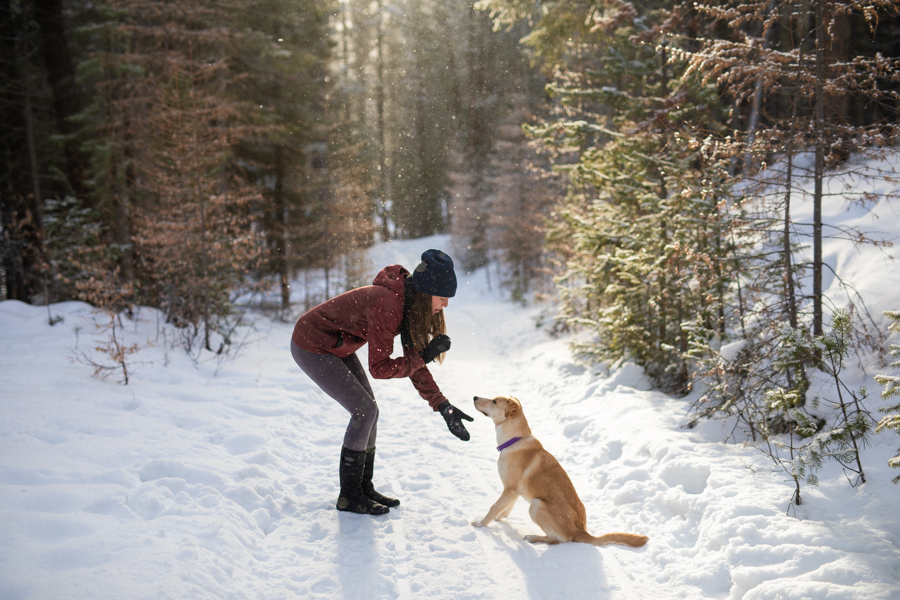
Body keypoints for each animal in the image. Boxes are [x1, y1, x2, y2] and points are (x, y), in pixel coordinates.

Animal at [472, 394, 648, 548]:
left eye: (494, 401)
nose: (474, 397)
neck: (515, 440)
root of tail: (579, 531)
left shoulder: (510, 489)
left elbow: (494, 507)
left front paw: (481, 523)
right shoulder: (515, 491)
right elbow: (505, 508)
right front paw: (500, 518)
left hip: (536, 505)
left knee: (559, 540)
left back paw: (534, 537)